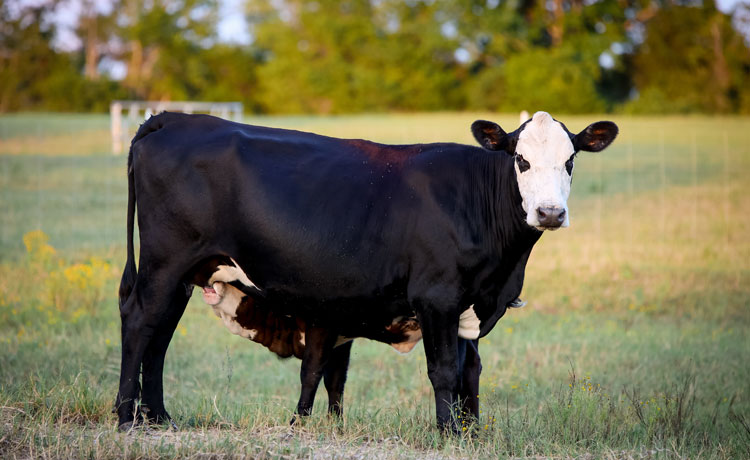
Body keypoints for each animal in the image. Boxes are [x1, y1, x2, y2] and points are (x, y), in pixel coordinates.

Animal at [116, 110, 616, 432]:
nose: (550, 213)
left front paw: (472, 433)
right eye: (521, 160)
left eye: (570, 161)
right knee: (141, 323)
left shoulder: (469, 306)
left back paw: (159, 417)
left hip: (183, 273)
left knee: (160, 334)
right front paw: (448, 434)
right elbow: (443, 371)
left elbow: (469, 371)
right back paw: (127, 418)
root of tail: (175, 118)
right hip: (165, 263)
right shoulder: (437, 297)